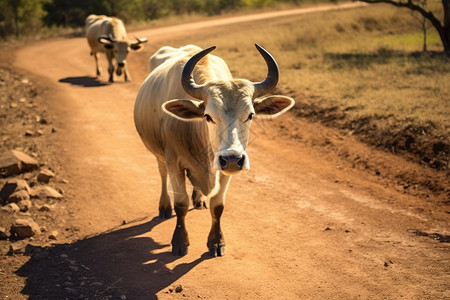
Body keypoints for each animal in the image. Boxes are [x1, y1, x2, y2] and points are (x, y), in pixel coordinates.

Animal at [134, 43, 296, 256]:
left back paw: (199, 199)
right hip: (159, 155)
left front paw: (216, 241)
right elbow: (181, 205)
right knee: (162, 175)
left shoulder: (225, 171)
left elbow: (218, 206)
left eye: (250, 115)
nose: (233, 159)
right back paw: (164, 206)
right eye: (208, 116)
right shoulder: (174, 163)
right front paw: (179, 242)